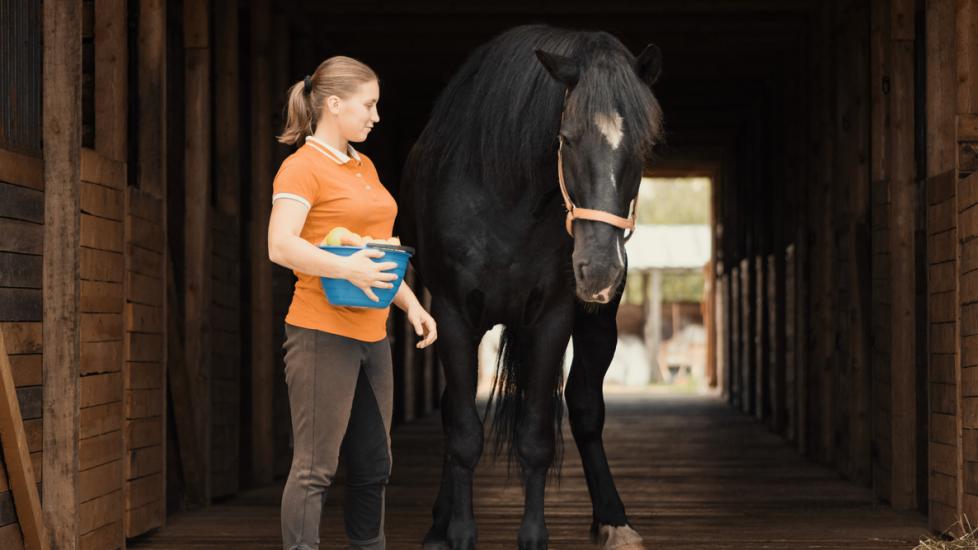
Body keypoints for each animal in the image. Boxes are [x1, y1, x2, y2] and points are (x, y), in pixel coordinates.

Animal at [398, 24, 663, 550]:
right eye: (565, 138)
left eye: (643, 147)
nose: (598, 271)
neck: (507, 201)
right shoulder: (453, 317)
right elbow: (463, 432)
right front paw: (458, 533)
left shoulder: (552, 320)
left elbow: (537, 436)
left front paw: (534, 536)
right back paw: (438, 523)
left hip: (595, 323)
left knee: (585, 406)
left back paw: (613, 518)